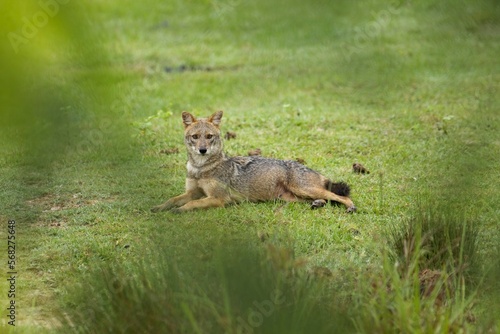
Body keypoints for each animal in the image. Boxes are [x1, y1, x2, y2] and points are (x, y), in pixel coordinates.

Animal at [151, 111, 356, 213]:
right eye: (195, 137)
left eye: (209, 137)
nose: (203, 150)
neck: (200, 169)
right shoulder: (193, 192)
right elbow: (172, 199)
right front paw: (159, 207)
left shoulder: (219, 199)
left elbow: (192, 204)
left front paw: (180, 210)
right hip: (290, 197)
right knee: (323, 199)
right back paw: (318, 204)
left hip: (304, 189)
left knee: (339, 196)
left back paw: (350, 207)